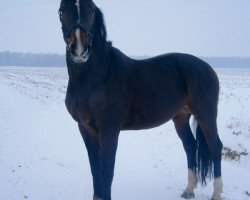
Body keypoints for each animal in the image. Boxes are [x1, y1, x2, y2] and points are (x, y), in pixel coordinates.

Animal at [58, 0, 223, 199]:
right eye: (61, 11)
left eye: (90, 9)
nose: (80, 48)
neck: (95, 77)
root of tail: (207, 68)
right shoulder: (85, 129)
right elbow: (95, 171)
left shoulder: (109, 131)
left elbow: (106, 172)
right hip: (181, 117)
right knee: (190, 146)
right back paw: (189, 190)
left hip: (206, 115)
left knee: (215, 147)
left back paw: (216, 193)